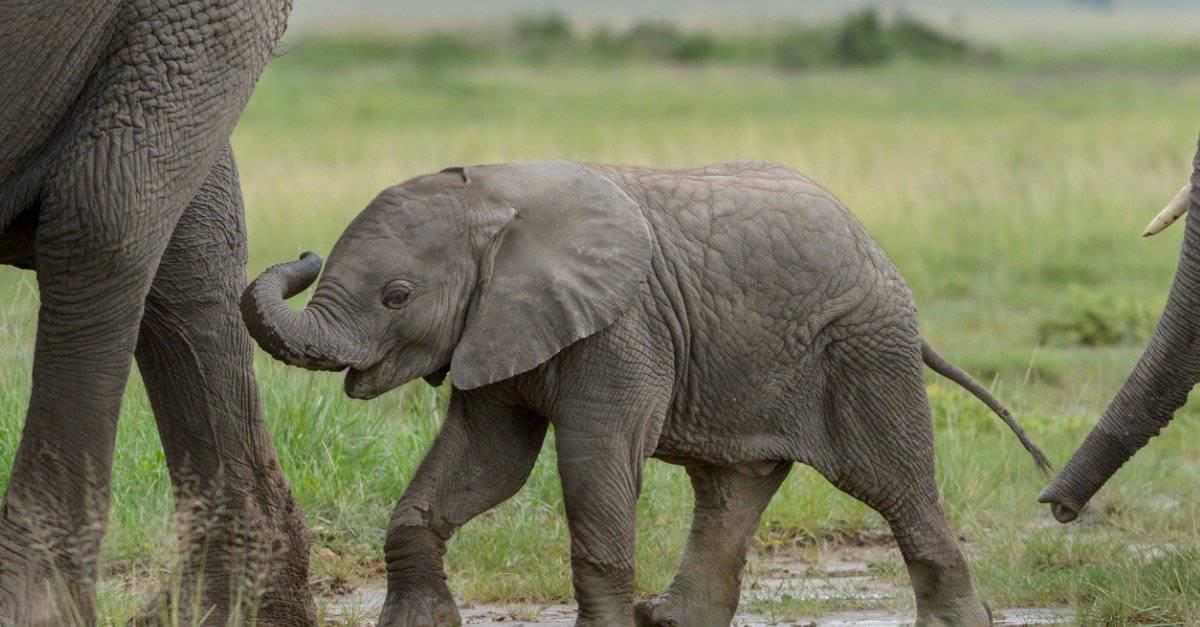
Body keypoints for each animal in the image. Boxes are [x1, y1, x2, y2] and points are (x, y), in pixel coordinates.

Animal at [241, 160, 1041, 624]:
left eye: (397, 295)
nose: (303, 254)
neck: (497, 198)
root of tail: (873, 244)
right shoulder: (499, 324)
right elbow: (486, 461)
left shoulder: (621, 326)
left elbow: (594, 457)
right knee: (730, 491)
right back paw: (671, 618)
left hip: (864, 347)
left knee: (895, 484)